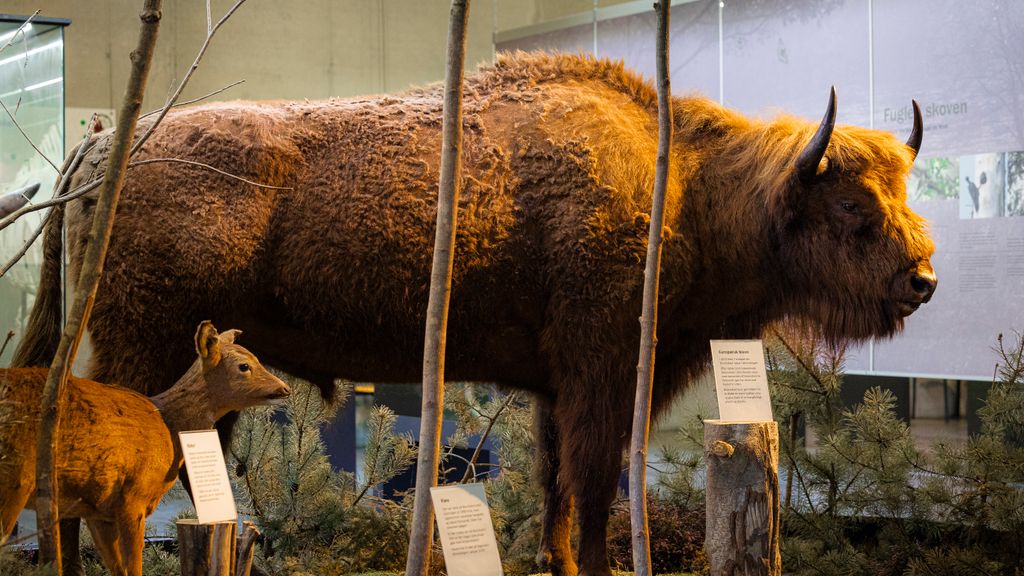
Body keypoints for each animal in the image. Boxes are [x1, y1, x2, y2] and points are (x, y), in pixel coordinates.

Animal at [14, 52, 935, 576]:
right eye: (854, 206)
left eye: (902, 187)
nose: (923, 278)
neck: (684, 184)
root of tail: (99, 148)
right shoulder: (600, 373)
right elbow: (593, 483)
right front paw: (591, 567)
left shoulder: (559, 387)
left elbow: (558, 484)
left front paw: (553, 561)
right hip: (138, 346)